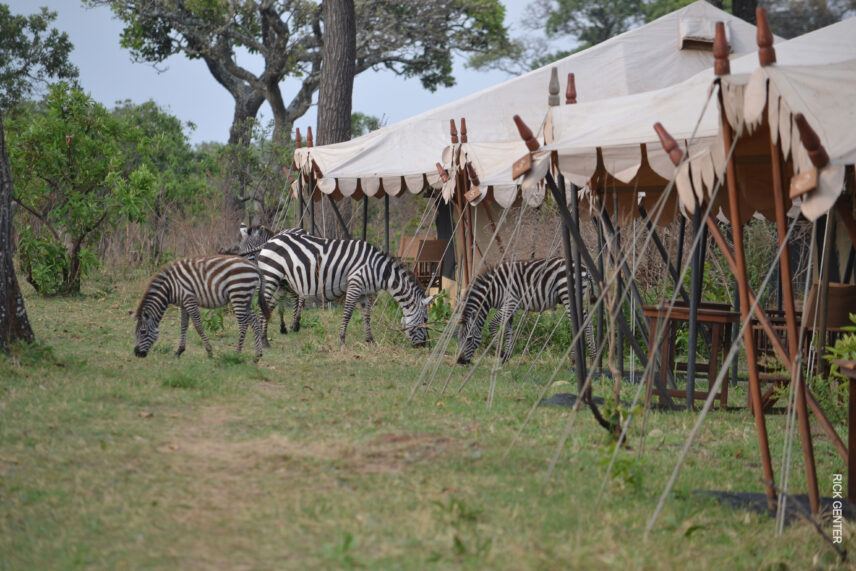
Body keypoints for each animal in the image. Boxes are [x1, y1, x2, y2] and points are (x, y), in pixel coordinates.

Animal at [133, 255, 271, 359]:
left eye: (142, 332)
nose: (136, 354)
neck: (170, 287)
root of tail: (255, 267)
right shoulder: (183, 304)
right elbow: (183, 325)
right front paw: (179, 351)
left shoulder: (189, 300)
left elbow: (198, 325)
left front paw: (209, 351)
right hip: (246, 298)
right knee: (255, 323)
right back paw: (258, 355)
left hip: (238, 294)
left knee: (243, 324)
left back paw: (237, 353)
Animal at [256, 232, 434, 346]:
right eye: (426, 319)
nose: (423, 345)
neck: (378, 270)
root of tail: (271, 239)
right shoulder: (355, 285)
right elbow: (348, 312)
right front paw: (341, 340)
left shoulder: (365, 292)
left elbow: (366, 315)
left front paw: (370, 341)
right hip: (271, 276)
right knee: (263, 306)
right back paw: (262, 341)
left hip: (282, 283)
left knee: (269, 306)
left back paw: (265, 339)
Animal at [456, 257, 595, 365]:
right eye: (459, 339)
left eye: (469, 339)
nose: (460, 361)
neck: (493, 289)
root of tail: (585, 268)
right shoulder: (509, 308)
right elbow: (508, 330)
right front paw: (506, 357)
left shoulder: (511, 303)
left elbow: (492, 324)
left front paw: (500, 351)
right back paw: (576, 360)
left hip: (568, 295)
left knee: (586, 324)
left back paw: (591, 358)